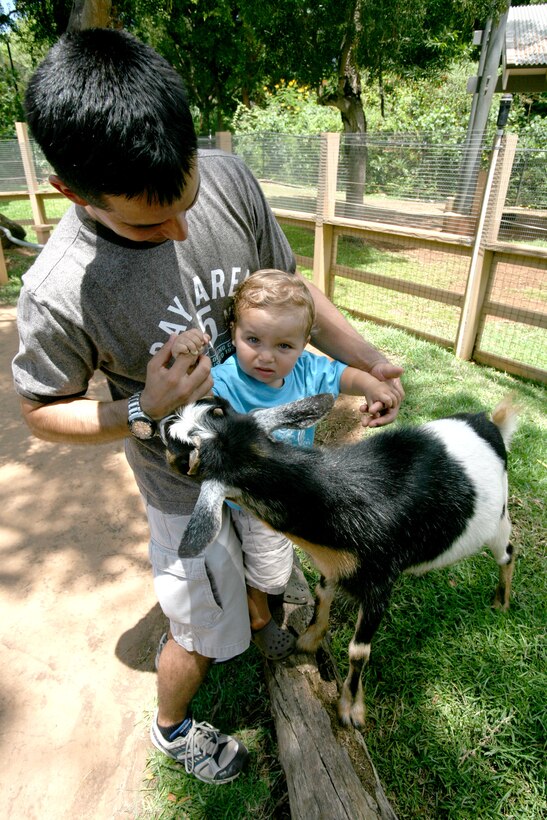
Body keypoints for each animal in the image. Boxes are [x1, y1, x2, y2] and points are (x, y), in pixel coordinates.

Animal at [161, 394, 520, 728]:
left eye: (179, 449)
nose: (159, 421)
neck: (334, 500)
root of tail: (491, 424)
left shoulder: (380, 580)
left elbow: (359, 650)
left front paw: (351, 708)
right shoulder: (331, 567)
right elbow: (321, 597)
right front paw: (308, 640)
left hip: (498, 519)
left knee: (509, 552)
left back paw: (502, 603)